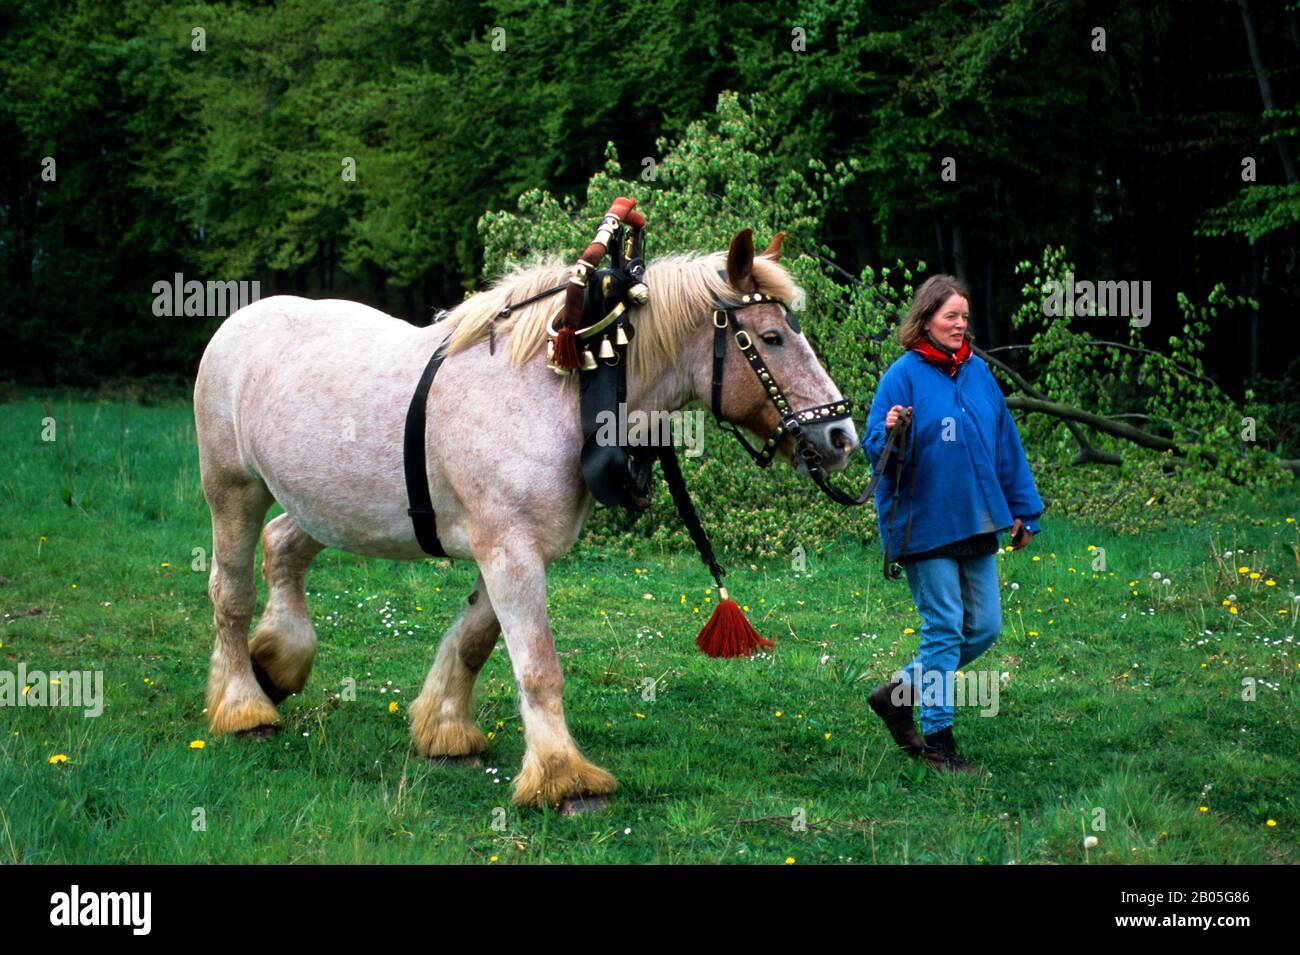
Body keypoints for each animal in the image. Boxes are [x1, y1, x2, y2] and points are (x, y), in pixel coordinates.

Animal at [192, 229, 857, 805]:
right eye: (770, 337)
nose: (842, 436)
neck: (561, 393)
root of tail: (241, 320)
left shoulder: (515, 549)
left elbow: (474, 640)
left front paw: (445, 729)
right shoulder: (509, 549)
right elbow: (537, 667)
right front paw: (563, 776)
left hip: (327, 505)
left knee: (282, 545)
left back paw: (279, 657)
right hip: (234, 491)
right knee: (230, 592)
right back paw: (243, 705)